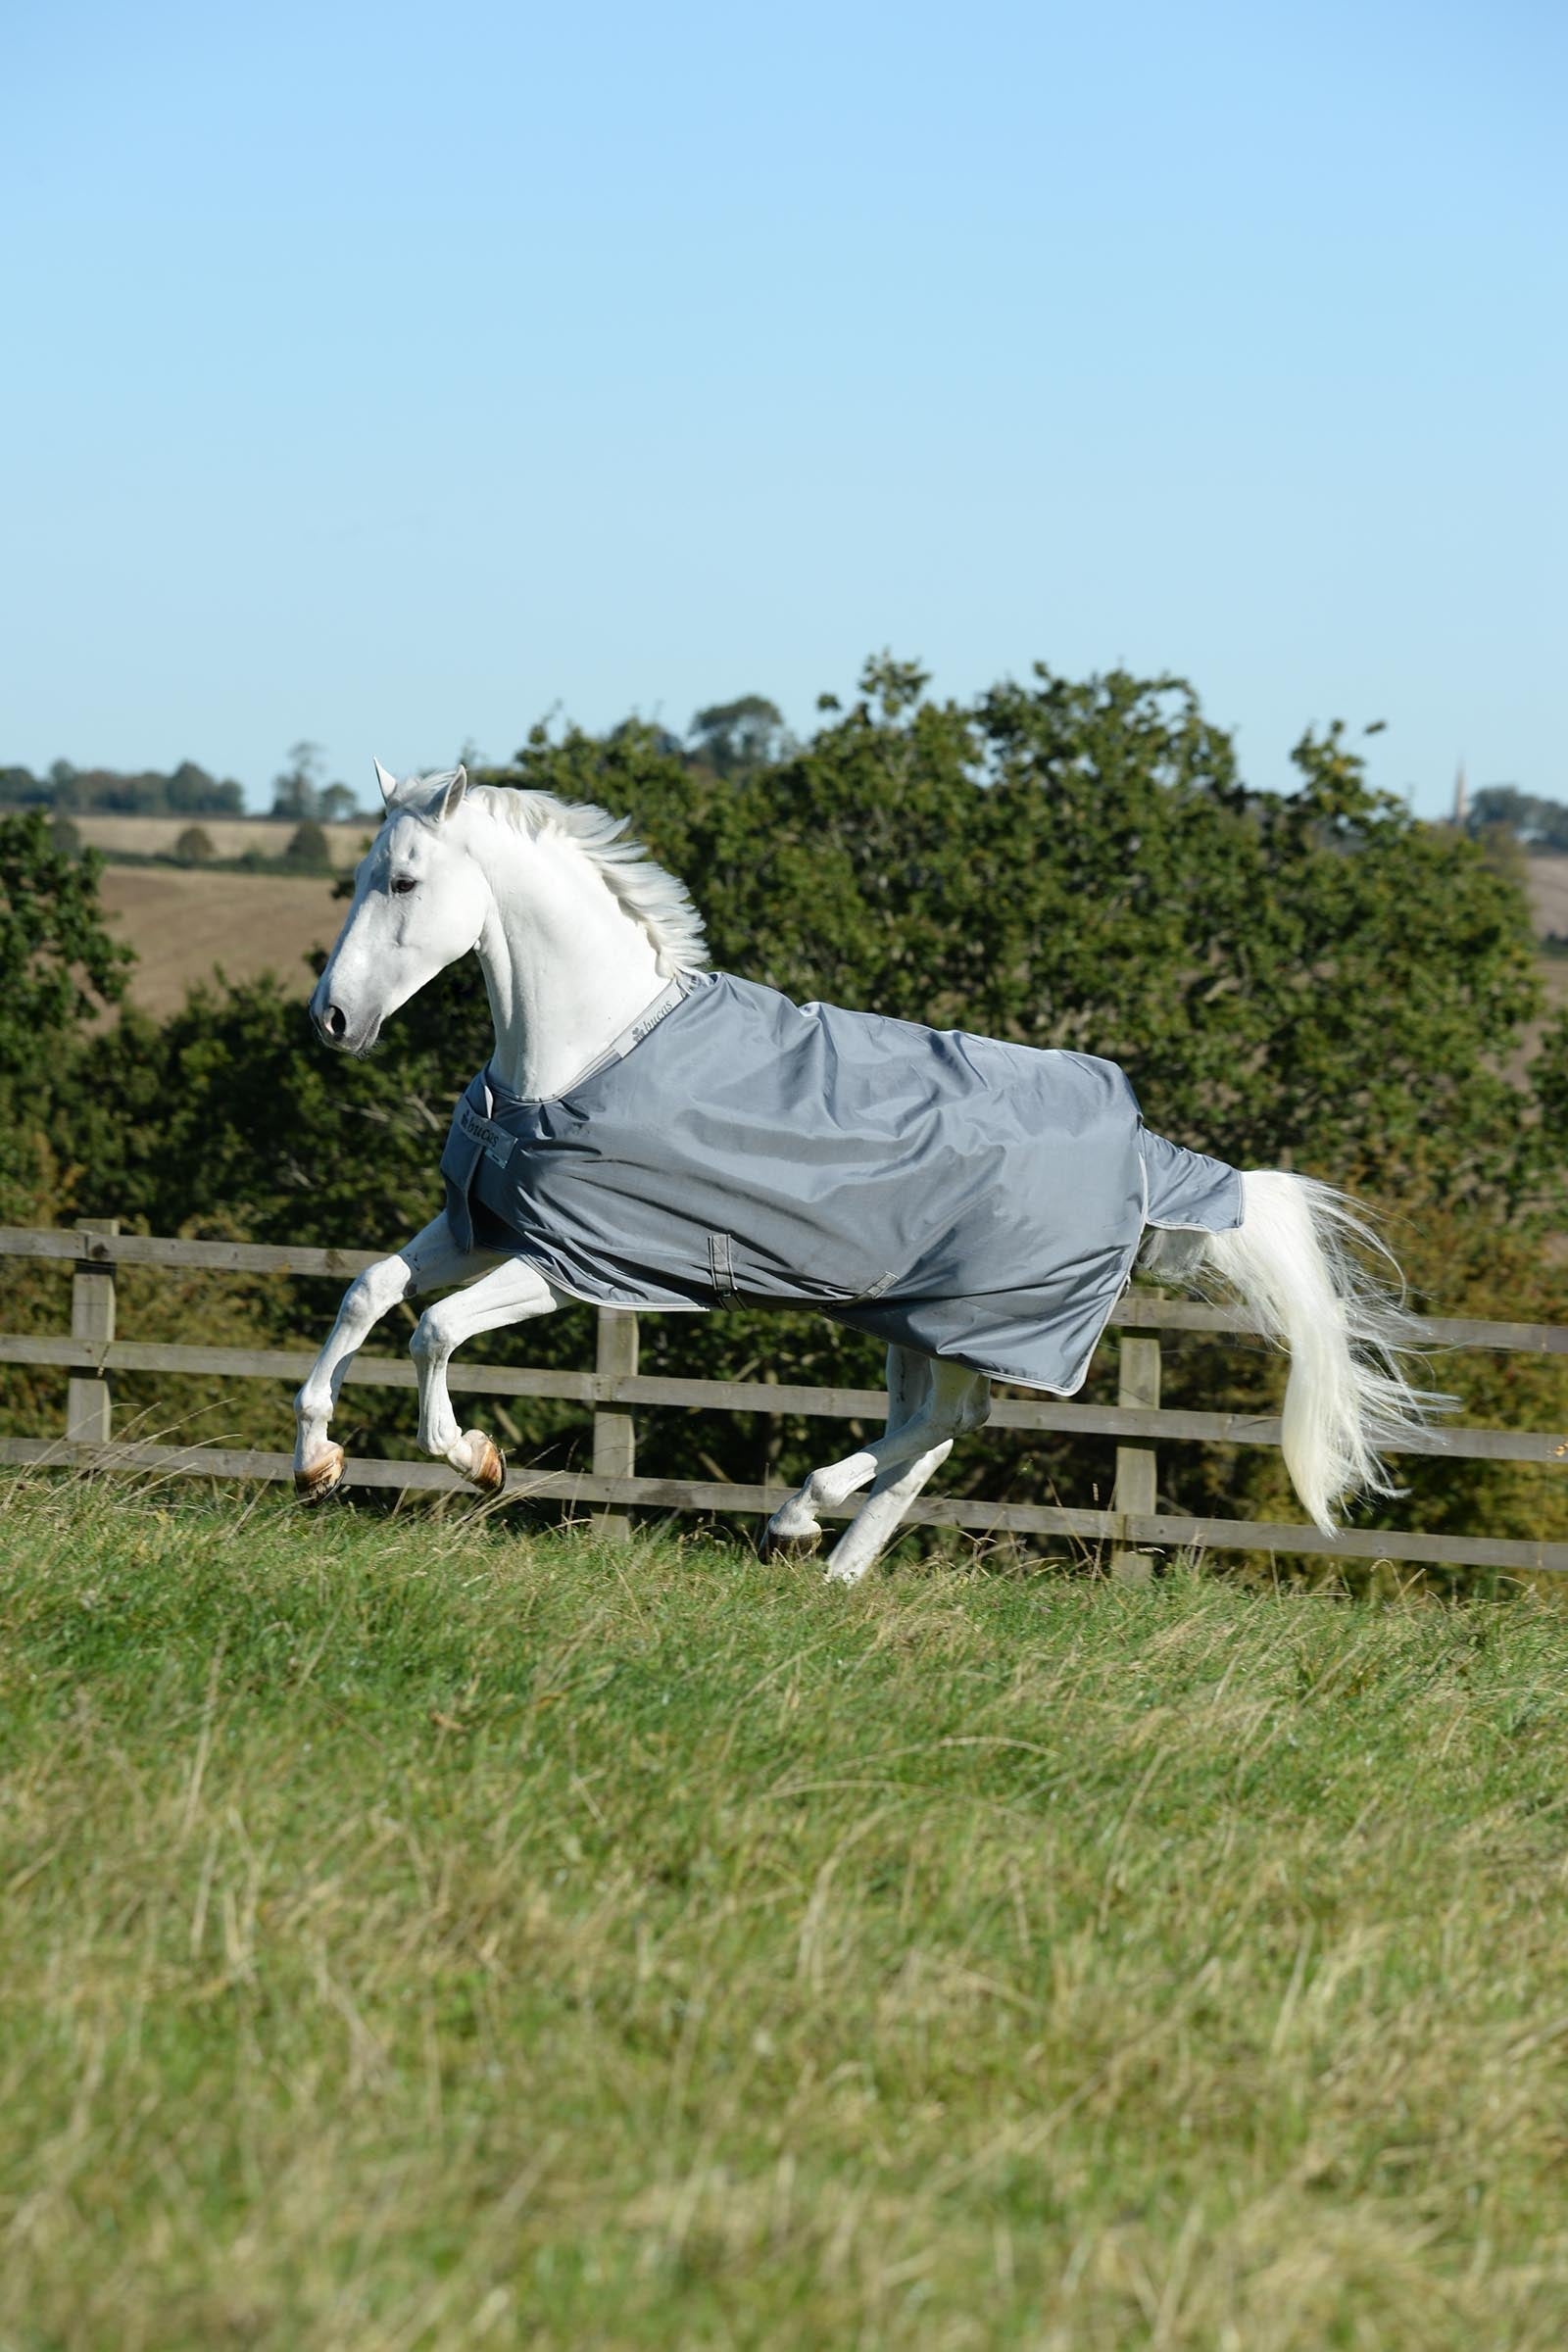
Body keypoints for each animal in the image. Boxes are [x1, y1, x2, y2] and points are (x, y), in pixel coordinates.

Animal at [294, 759, 1431, 1583]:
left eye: (403, 881)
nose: (333, 1021)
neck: (586, 1050)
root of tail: (1146, 1149)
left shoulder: (583, 1265)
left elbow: (435, 1332)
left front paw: (474, 1458)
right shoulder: (483, 1225)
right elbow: (371, 1292)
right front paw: (315, 1460)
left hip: (979, 1322)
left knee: (944, 1425)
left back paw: (798, 1518)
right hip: (916, 1323)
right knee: (932, 1437)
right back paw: (835, 1567)